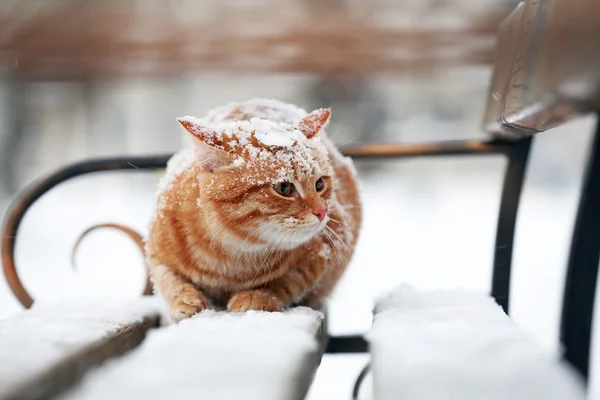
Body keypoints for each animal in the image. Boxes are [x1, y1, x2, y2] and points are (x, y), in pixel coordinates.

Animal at [78, 99, 364, 322]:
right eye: (284, 187)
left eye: (320, 184)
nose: (322, 213)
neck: (231, 257)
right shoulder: (156, 252)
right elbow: (169, 280)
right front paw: (185, 300)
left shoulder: (324, 254)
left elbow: (286, 282)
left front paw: (256, 295)